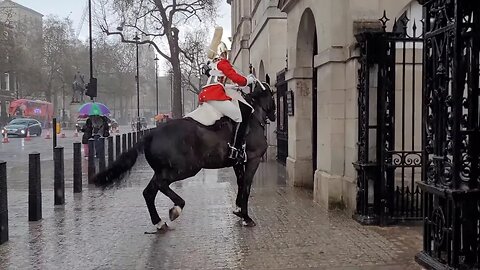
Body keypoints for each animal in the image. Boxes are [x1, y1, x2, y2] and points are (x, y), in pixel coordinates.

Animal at [92, 81, 276, 230]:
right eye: (272, 95)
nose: (274, 114)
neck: (252, 118)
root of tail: (152, 134)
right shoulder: (253, 159)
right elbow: (246, 186)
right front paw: (246, 217)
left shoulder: (238, 162)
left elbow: (241, 183)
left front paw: (238, 210)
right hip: (186, 168)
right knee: (160, 185)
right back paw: (176, 208)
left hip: (164, 170)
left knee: (149, 192)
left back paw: (159, 222)